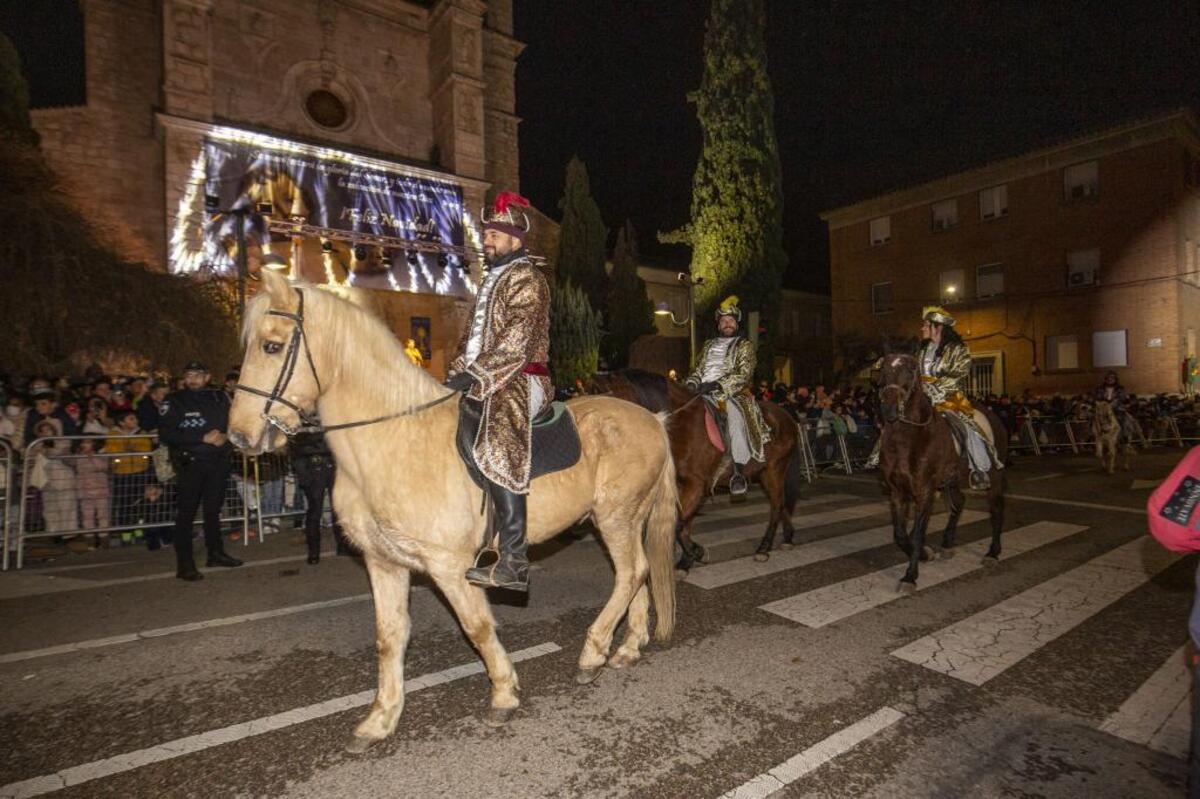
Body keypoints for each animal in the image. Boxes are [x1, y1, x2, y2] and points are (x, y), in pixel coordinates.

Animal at [225, 271, 676, 748]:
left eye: (271, 346)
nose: (239, 437)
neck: (395, 439)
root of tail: (653, 420)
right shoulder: (384, 563)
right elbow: (389, 637)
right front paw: (380, 719)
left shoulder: (450, 567)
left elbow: (477, 627)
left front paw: (503, 695)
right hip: (624, 520)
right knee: (637, 573)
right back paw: (626, 647)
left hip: (615, 518)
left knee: (631, 571)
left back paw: (592, 654)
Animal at [592, 367, 806, 566]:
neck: (681, 424)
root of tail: (787, 417)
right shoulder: (681, 484)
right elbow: (684, 523)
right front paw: (687, 560)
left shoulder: (697, 484)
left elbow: (678, 524)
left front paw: (695, 552)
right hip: (764, 473)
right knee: (781, 503)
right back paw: (788, 537)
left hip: (774, 470)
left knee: (777, 504)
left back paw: (764, 547)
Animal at [878, 355, 1008, 590]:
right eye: (883, 369)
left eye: (911, 370)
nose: (889, 410)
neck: (909, 437)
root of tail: (993, 415)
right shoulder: (897, 492)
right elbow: (900, 534)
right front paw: (923, 555)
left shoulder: (924, 491)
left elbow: (917, 533)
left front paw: (910, 576)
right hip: (953, 479)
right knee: (960, 501)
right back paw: (947, 543)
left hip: (994, 478)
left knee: (996, 509)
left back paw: (993, 553)